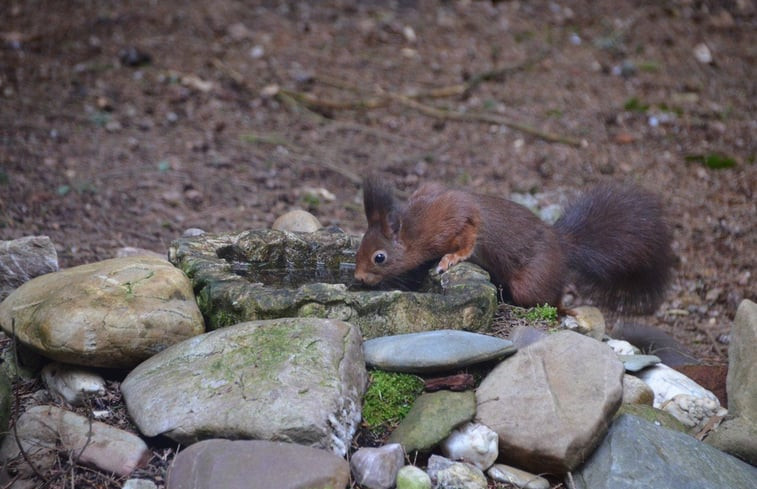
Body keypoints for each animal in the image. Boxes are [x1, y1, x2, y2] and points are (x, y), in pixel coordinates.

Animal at [354, 177, 672, 314]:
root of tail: (562, 246)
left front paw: (451, 258)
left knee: (550, 297)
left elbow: (470, 231)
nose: (358, 277)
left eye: (379, 257)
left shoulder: (453, 216)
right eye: (359, 247)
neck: (414, 227)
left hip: (533, 279)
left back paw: (563, 309)